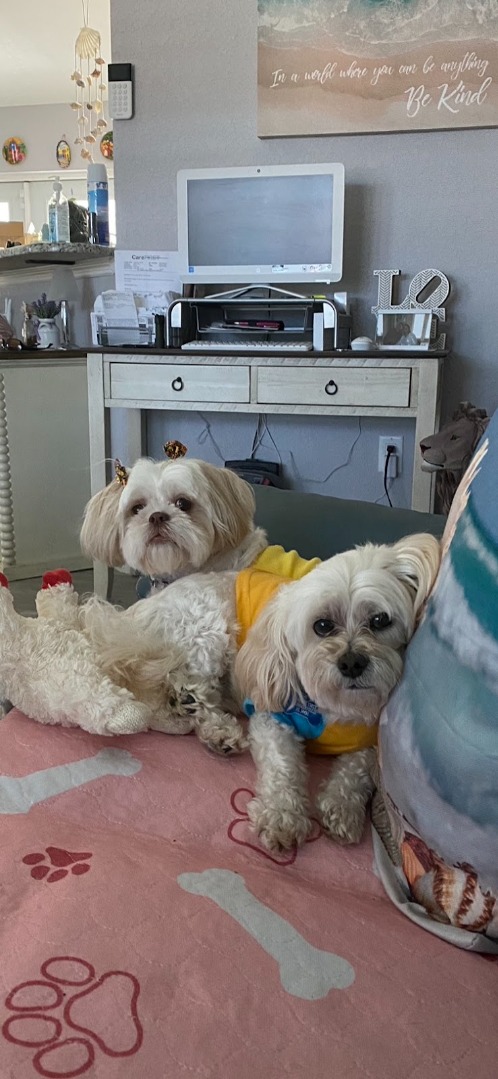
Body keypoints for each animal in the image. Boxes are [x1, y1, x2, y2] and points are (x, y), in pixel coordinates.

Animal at [80, 533, 440, 835]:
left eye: (380, 620)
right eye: (322, 626)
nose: (352, 662)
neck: (335, 706)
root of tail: (142, 609)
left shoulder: (369, 742)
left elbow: (357, 769)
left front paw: (342, 808)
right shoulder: (271, 716)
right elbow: (281, 766)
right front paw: (282, 817)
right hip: (209, 630)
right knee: (187, 684)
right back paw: (209, 721)